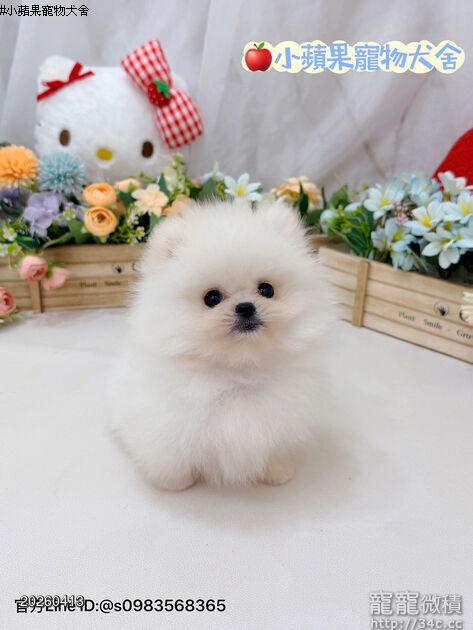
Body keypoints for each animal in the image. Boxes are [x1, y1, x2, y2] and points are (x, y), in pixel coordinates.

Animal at [109, 199, 335, 489]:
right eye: (212, 298)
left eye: (266, 290)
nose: (246, 307)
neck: (239, 373)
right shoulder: (165, 424)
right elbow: (171, 459)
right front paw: (175, 483)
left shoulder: (284, 421)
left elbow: (278, 449)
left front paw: (278, 473)